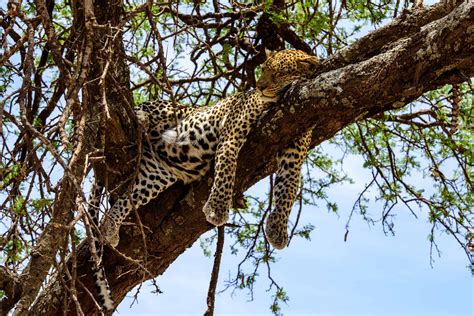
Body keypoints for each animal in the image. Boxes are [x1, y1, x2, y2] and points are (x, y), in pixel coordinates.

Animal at [87, 48, 320, 310]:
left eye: (278, 73)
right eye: (263, 69)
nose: (259, 87)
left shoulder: (295, 146)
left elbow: (288, 189)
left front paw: (277, 230)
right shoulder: (232, 133)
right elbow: (227, 168)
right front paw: (217, 210)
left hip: (157, 174)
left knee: (126, 199)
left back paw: (109, 229)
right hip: (172, 110)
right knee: (148, 108)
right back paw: (141, 116)